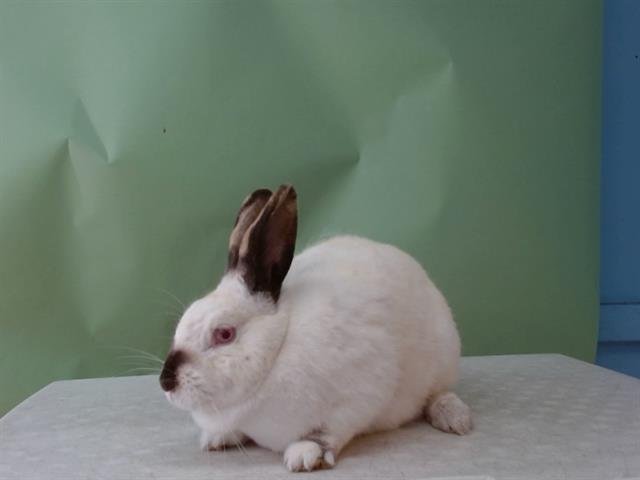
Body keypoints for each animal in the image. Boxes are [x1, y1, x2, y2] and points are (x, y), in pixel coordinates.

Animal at [160, 184, 472, 472]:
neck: (279, 347)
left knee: (438, 393)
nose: (165, 382)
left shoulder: (357, 397)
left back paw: (456, 419)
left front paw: (305, 455)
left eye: (224, 334)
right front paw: (215, 439)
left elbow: (327, 431)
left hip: (444, 357)